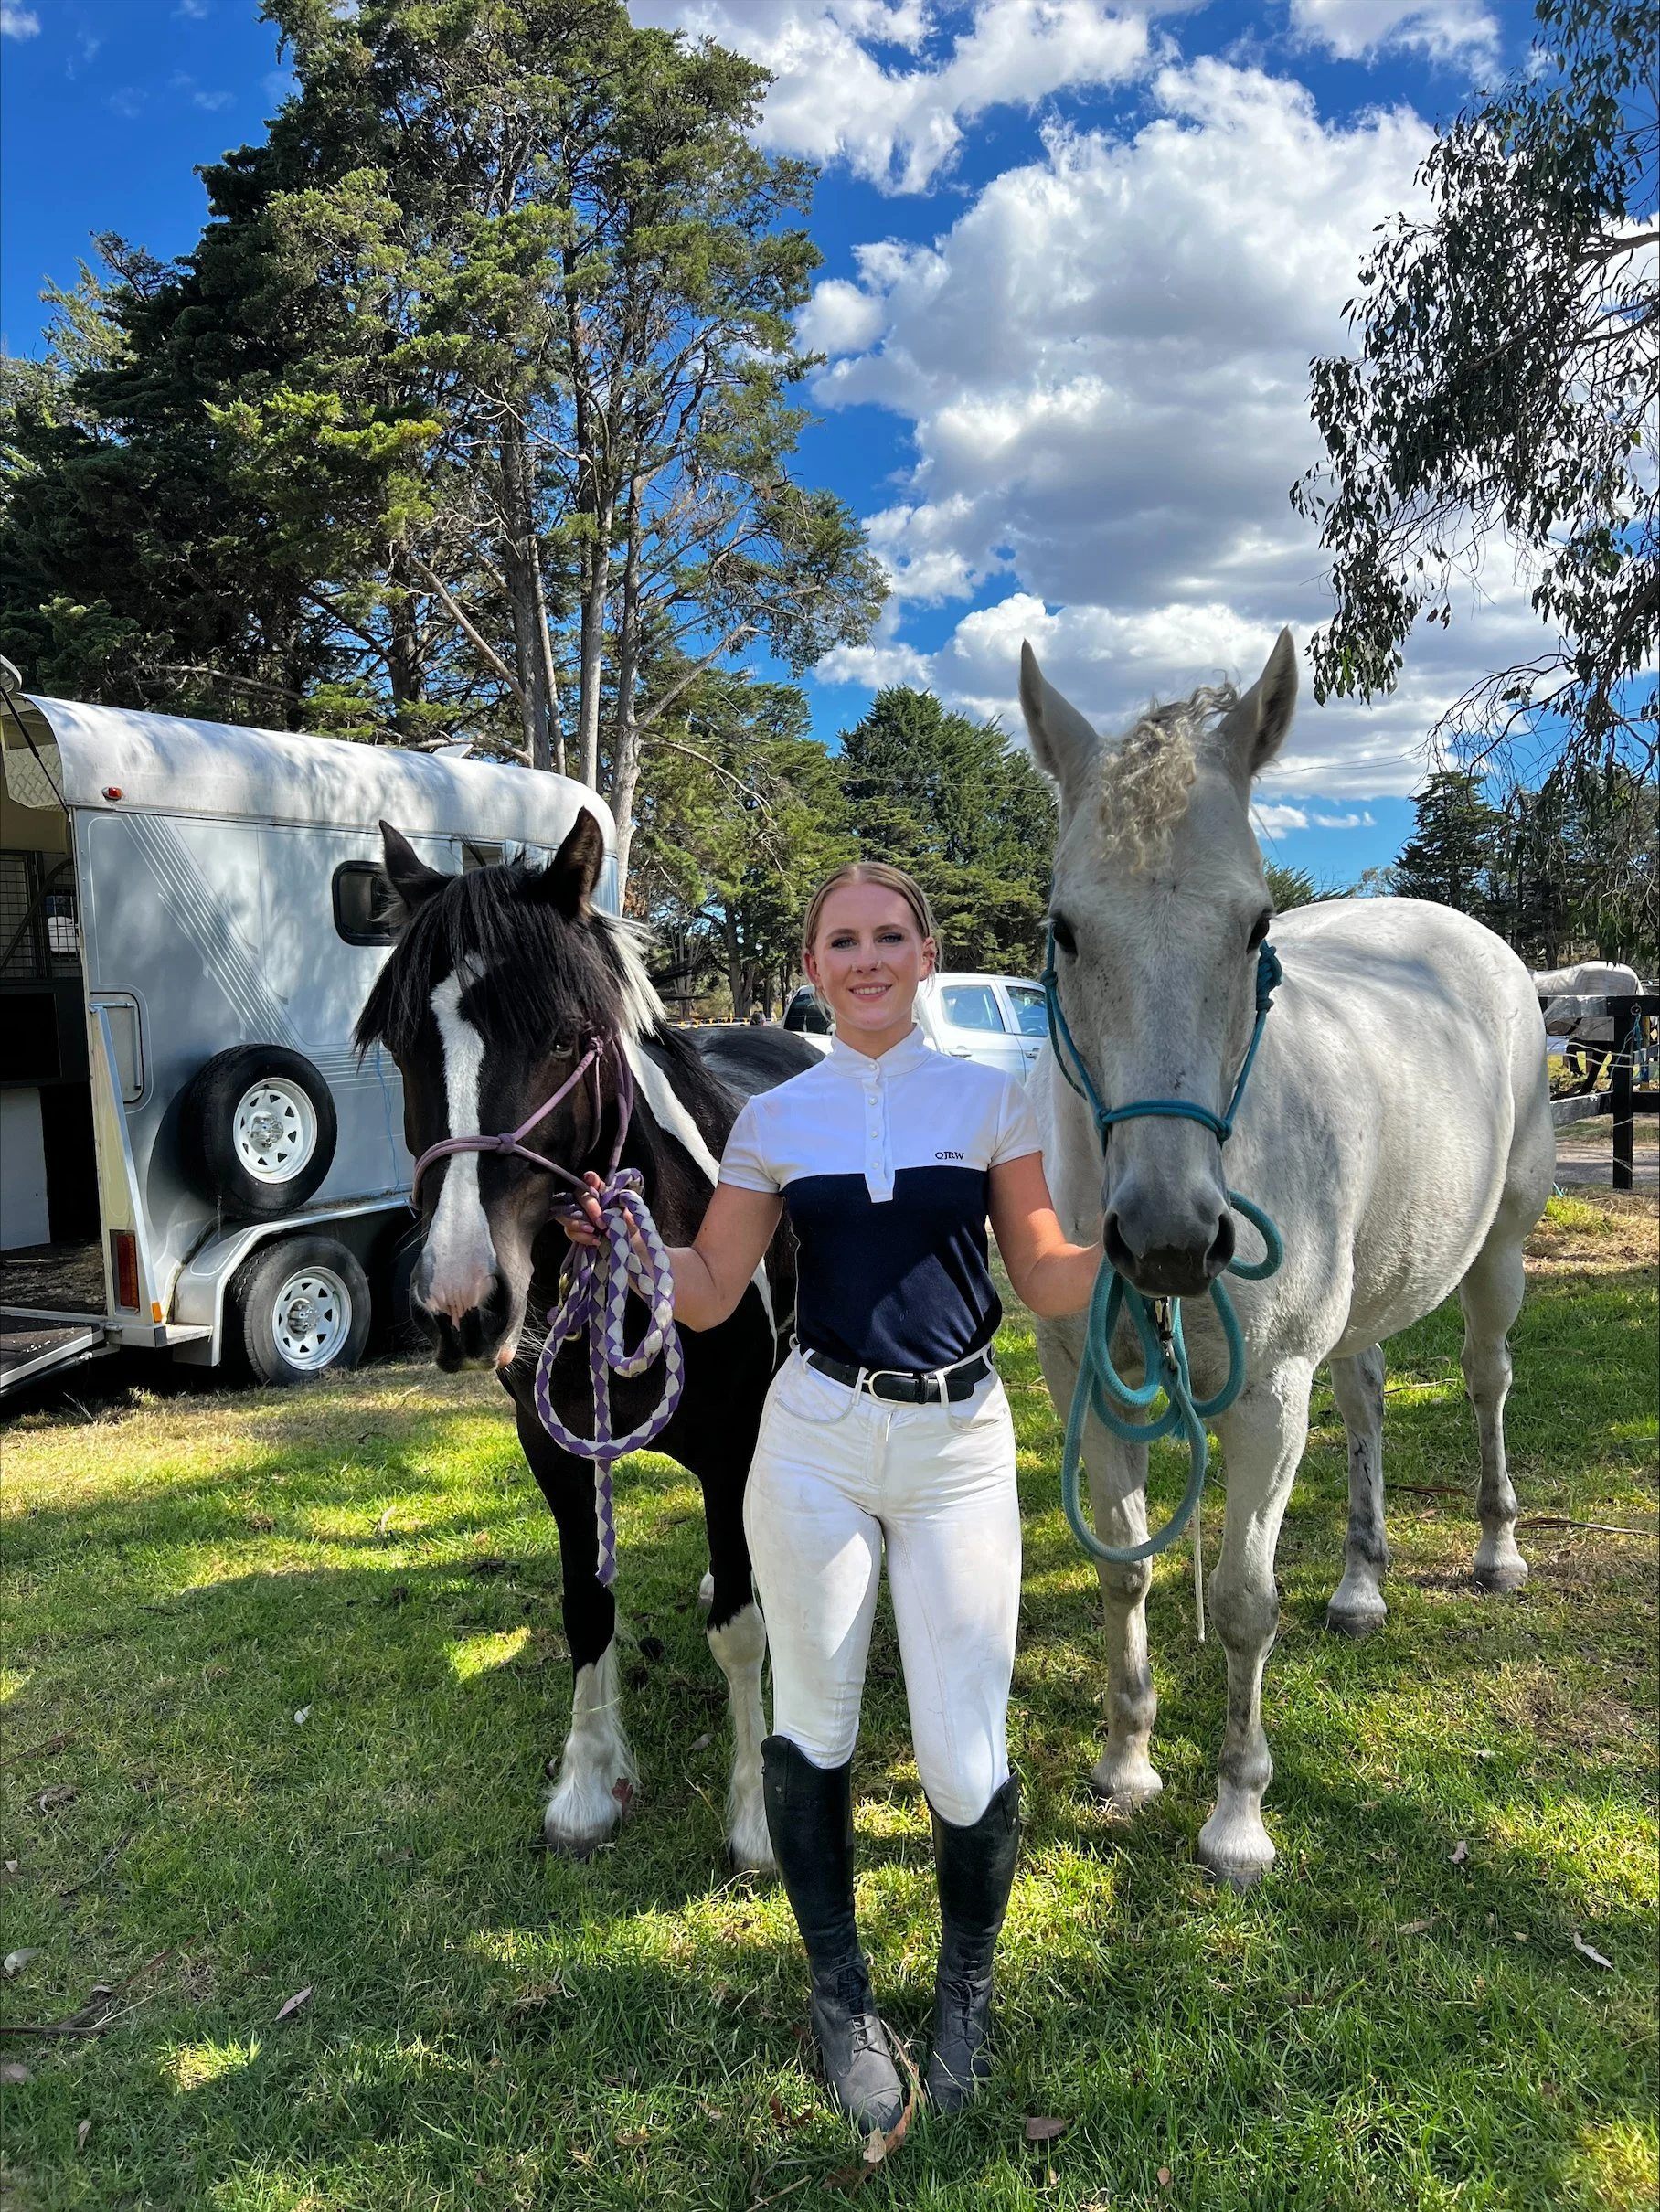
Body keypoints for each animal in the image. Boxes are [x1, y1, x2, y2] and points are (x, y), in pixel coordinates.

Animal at [355, 810, 818, 1867]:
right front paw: (587, 1785)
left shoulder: (733, 1441)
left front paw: (755, 1815)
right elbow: (585, 1605)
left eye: (569, 1036)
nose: (460, 1302)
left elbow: (741, 1630)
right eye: (402, 1042)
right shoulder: (553, 1446)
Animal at [1019, 631, 1554, 1886]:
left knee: (1486, 1381)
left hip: (1498, 1255)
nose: (1169, 1238)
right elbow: (1125, 1568)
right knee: (1364, 1401)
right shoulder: (1085, 1387)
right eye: (1066, 927)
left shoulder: (1267, 1396)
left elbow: (1242, 1601)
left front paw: (1236, 1816)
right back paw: (1360, 1584)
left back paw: (1496, 1548)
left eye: (1255, 926)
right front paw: (1125, 1764)